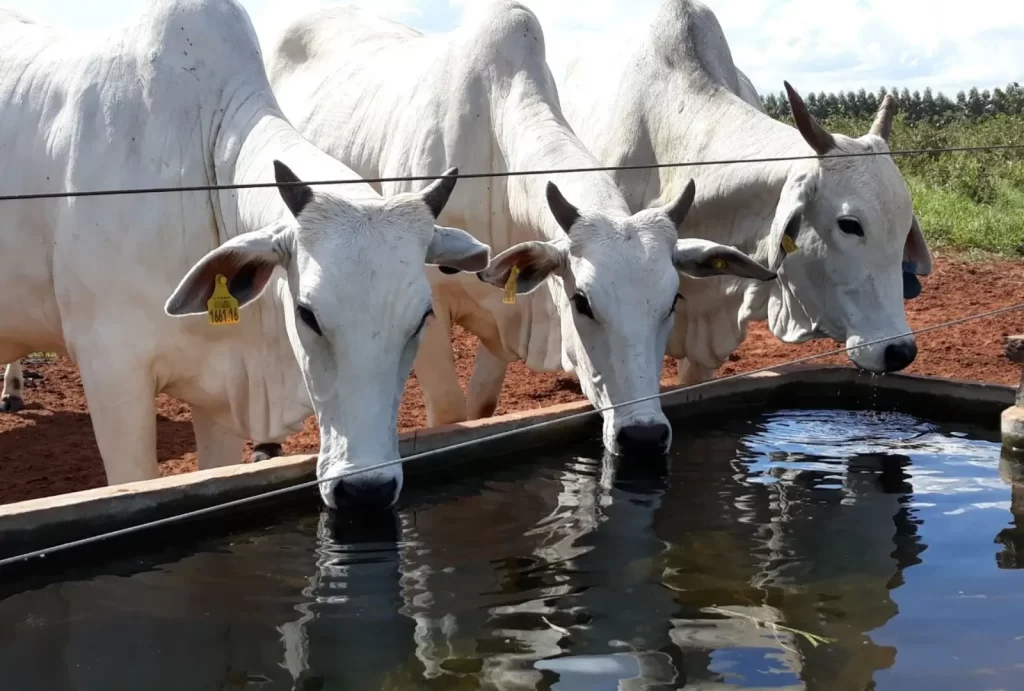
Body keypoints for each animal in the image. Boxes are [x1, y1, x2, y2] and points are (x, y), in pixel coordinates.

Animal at [264, 0, 774, 456]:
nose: (644, 436)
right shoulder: (425, 309)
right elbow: (449, 414)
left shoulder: (507, 309)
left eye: (672, 302)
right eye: (582, 302)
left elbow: (481, 408)